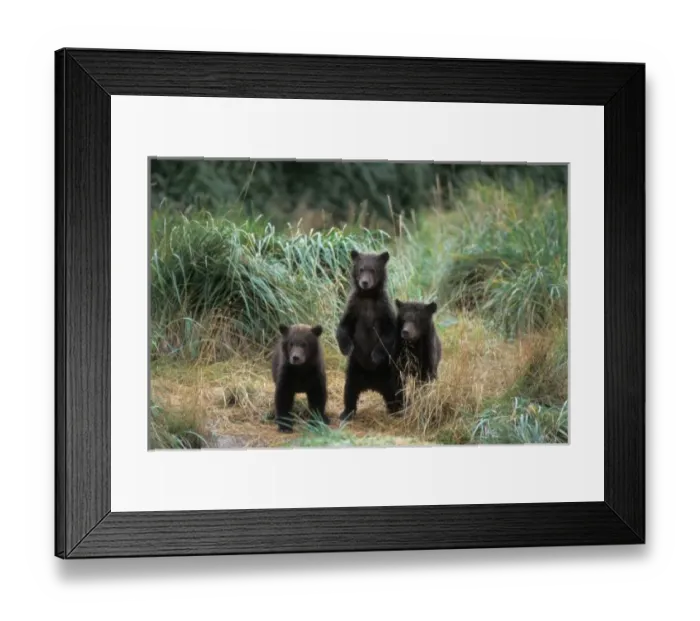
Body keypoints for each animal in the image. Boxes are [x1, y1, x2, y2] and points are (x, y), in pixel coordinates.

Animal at [336, 249, 403, 421]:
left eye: (372, 269)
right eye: (361, 269)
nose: (365, 282)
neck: (368, 296)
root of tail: (372, 385)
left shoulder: (383, 309)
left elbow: (389, 332)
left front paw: (375, 355)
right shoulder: (354, 307)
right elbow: (343, 327)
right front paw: (347, 348)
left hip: (389, 373)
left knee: (397, 392)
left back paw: (400, 411)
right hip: (354, 370)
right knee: (349, 391)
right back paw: (346, 413)